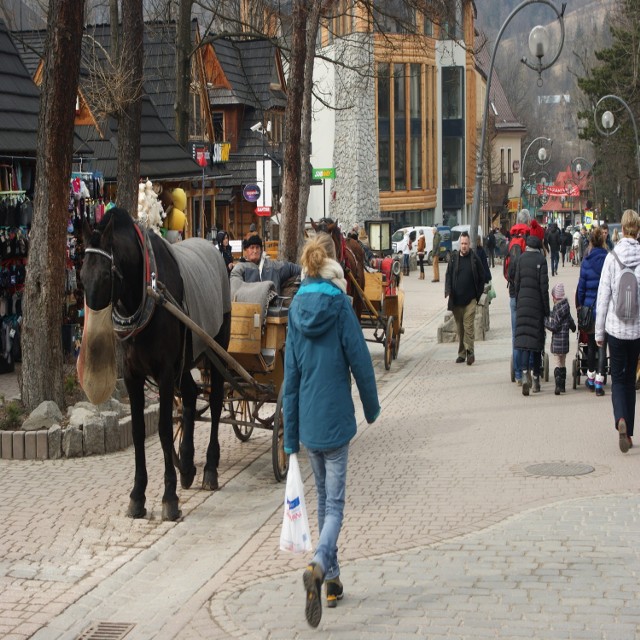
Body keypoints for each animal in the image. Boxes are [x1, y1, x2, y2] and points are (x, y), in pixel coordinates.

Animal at [79, 209, 231, 520]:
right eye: (82, 275)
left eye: (106, 274)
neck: (146, 295)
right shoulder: (134, 375)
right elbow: (139, 430)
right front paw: (138, 495)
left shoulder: (164, 373)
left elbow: (162, 429)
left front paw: (169, 497)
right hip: (186, 359)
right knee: (190, 395)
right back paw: (187, 464)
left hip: (215, 347)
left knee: (216, 401)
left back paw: (209, 468)